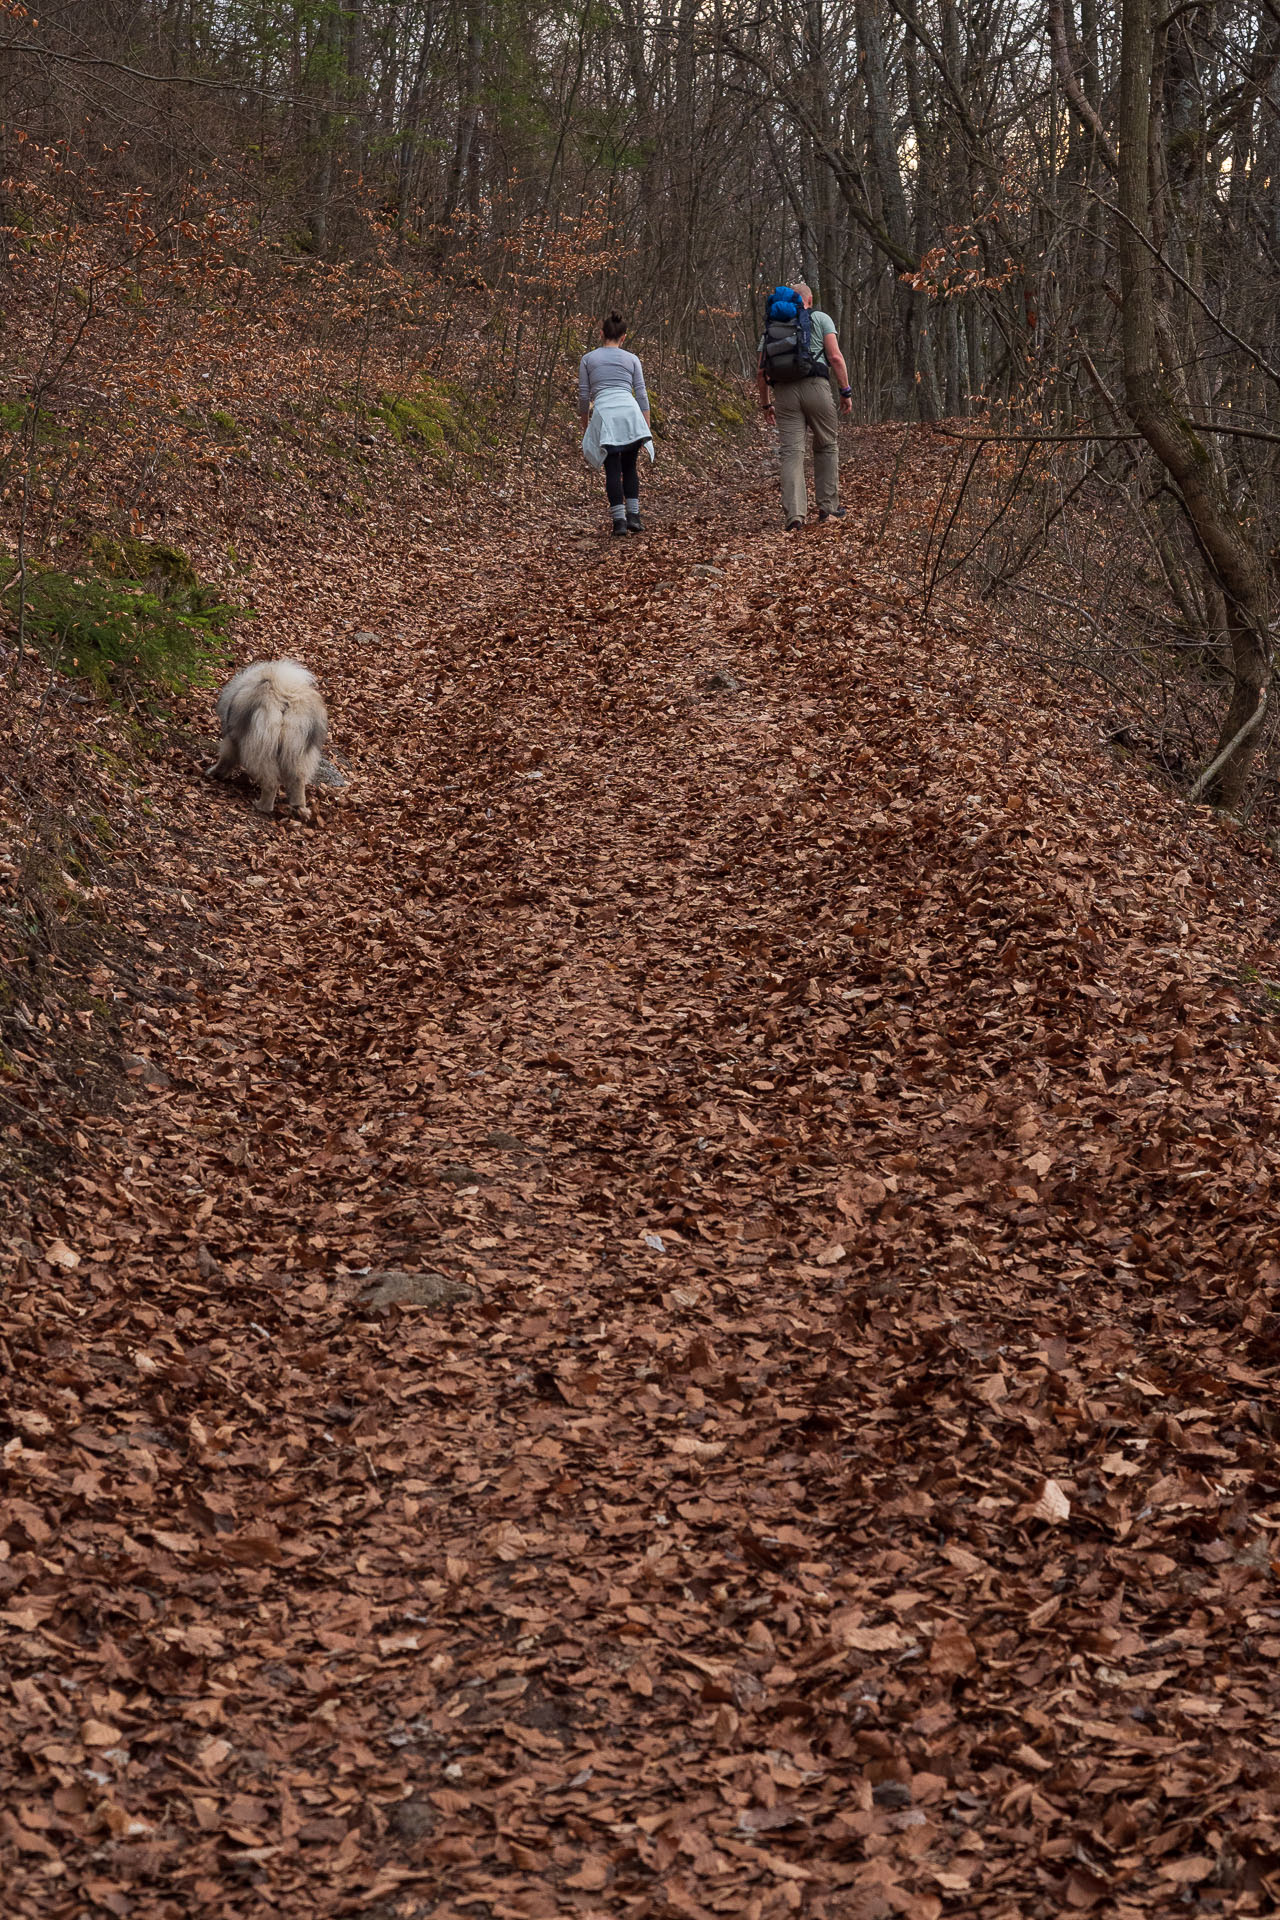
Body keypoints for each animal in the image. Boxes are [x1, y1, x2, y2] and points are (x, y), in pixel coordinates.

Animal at [206, 660, 328, 817]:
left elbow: (225, 760)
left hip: (260, 749)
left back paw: (262, 806)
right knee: (298, 781)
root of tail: (285, 697)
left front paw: (214, 773)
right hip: (298, 751)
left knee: (271, 783)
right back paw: (299, 808)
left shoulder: (232, 741)